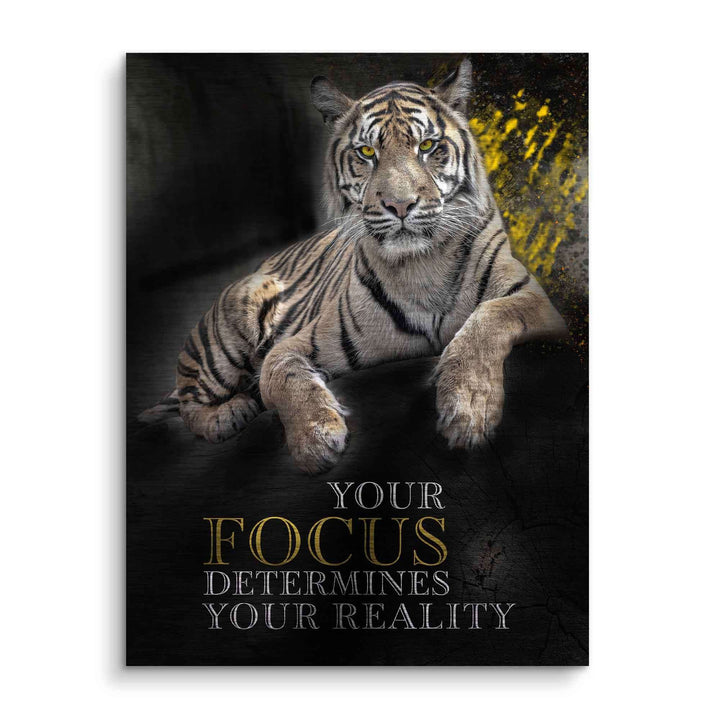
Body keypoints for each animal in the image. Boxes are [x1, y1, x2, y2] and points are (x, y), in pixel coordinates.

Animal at [139, 59, 567, 474]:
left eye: (428, 146)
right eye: (366, 153)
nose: (399, 205)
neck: (421, 267)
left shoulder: (537, 304)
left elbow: (490, 317)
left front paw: (468, 408)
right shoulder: (302, 342)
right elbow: (281, 375)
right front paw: (314, 440)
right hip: (235, 320)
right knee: (191, 402)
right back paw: (229, 415)